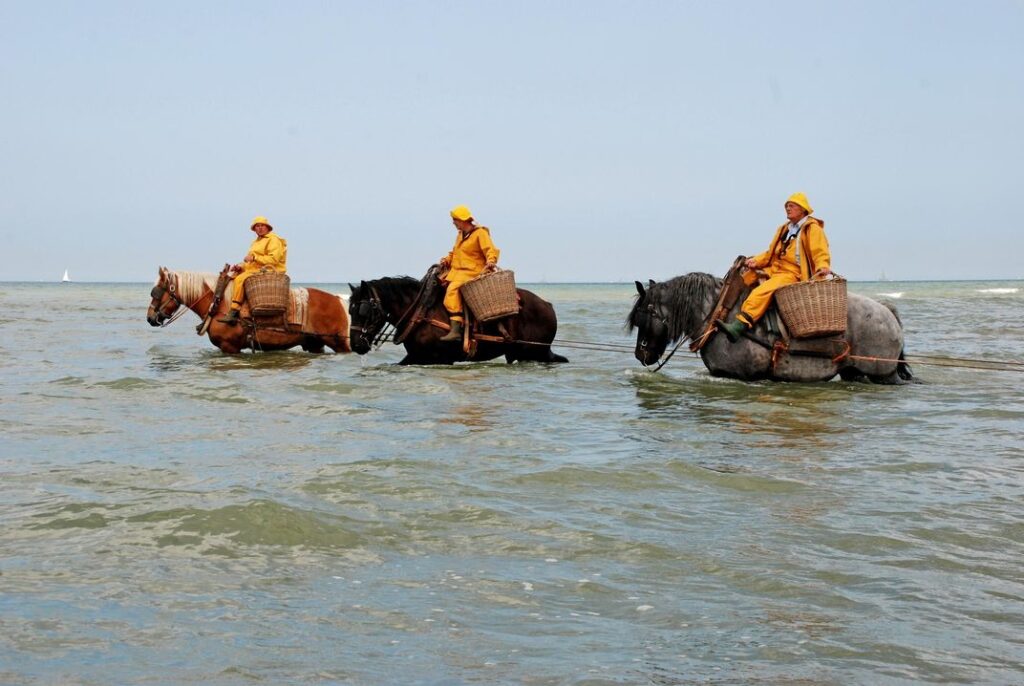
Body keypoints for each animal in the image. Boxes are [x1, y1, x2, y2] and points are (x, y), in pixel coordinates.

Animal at [146, 268, 350, 358]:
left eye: (156, 292)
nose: (149, 317)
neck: (219, 303)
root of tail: (338, 300)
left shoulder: (230, 347)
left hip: (340, 343)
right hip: (315, 344)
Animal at [346, 276, 569, 368]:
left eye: (364, 310)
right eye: (350, 310)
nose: (355, 344)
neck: (421, 313)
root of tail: (547, 305)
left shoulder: (438, 359)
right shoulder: (417, 356)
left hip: (534, 353)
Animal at [622, 272, 913, 380]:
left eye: (642, 318)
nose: (640, 354)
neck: (719, 315)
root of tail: (887, 311)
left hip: (882, 374)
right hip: (854, 372)